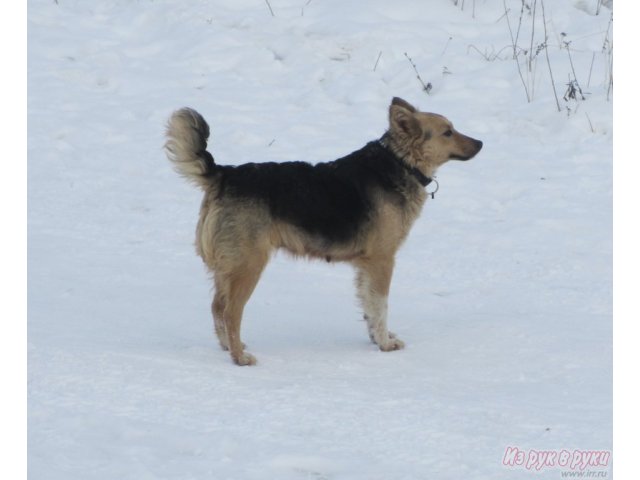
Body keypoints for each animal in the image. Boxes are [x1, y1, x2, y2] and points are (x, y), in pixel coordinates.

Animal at [164, 97, 480, 366]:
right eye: (448, 132)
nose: (480, 142)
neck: (400, 162)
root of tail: (224, 174)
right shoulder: (382, 260)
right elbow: (381, 307)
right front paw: (385, 344)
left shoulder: (366, 266)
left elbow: (369, 307)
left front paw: (377, 339)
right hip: (247, 266)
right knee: (230, 313)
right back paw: (240, 358)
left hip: (228, 268)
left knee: (217, 308)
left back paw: (229, 348)